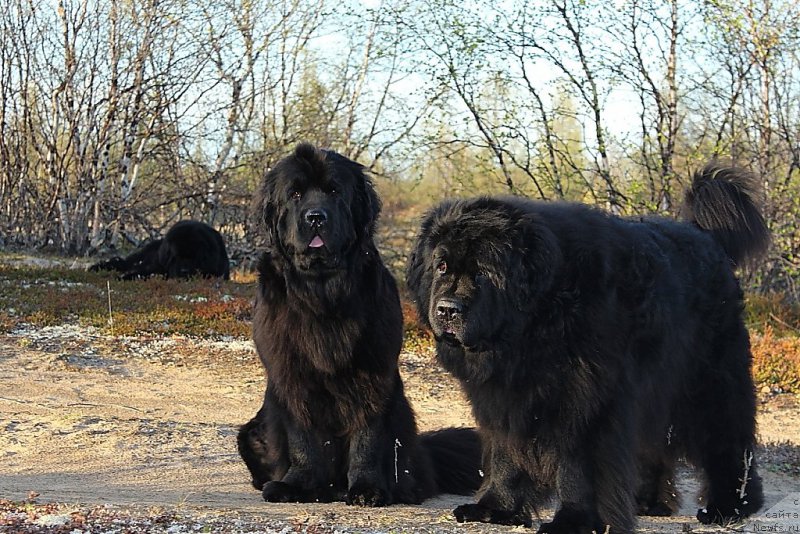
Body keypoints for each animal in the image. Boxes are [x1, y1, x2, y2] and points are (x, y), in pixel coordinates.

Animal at [234, 144, 478, 508]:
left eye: (334, 192)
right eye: (295, 194)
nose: (315, 216)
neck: (322, 289)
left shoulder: (372, 372)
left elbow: (368, 434)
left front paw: (367, 488)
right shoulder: (292, 375)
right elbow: (302, 436)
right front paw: (298, 484)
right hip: (253, 431)